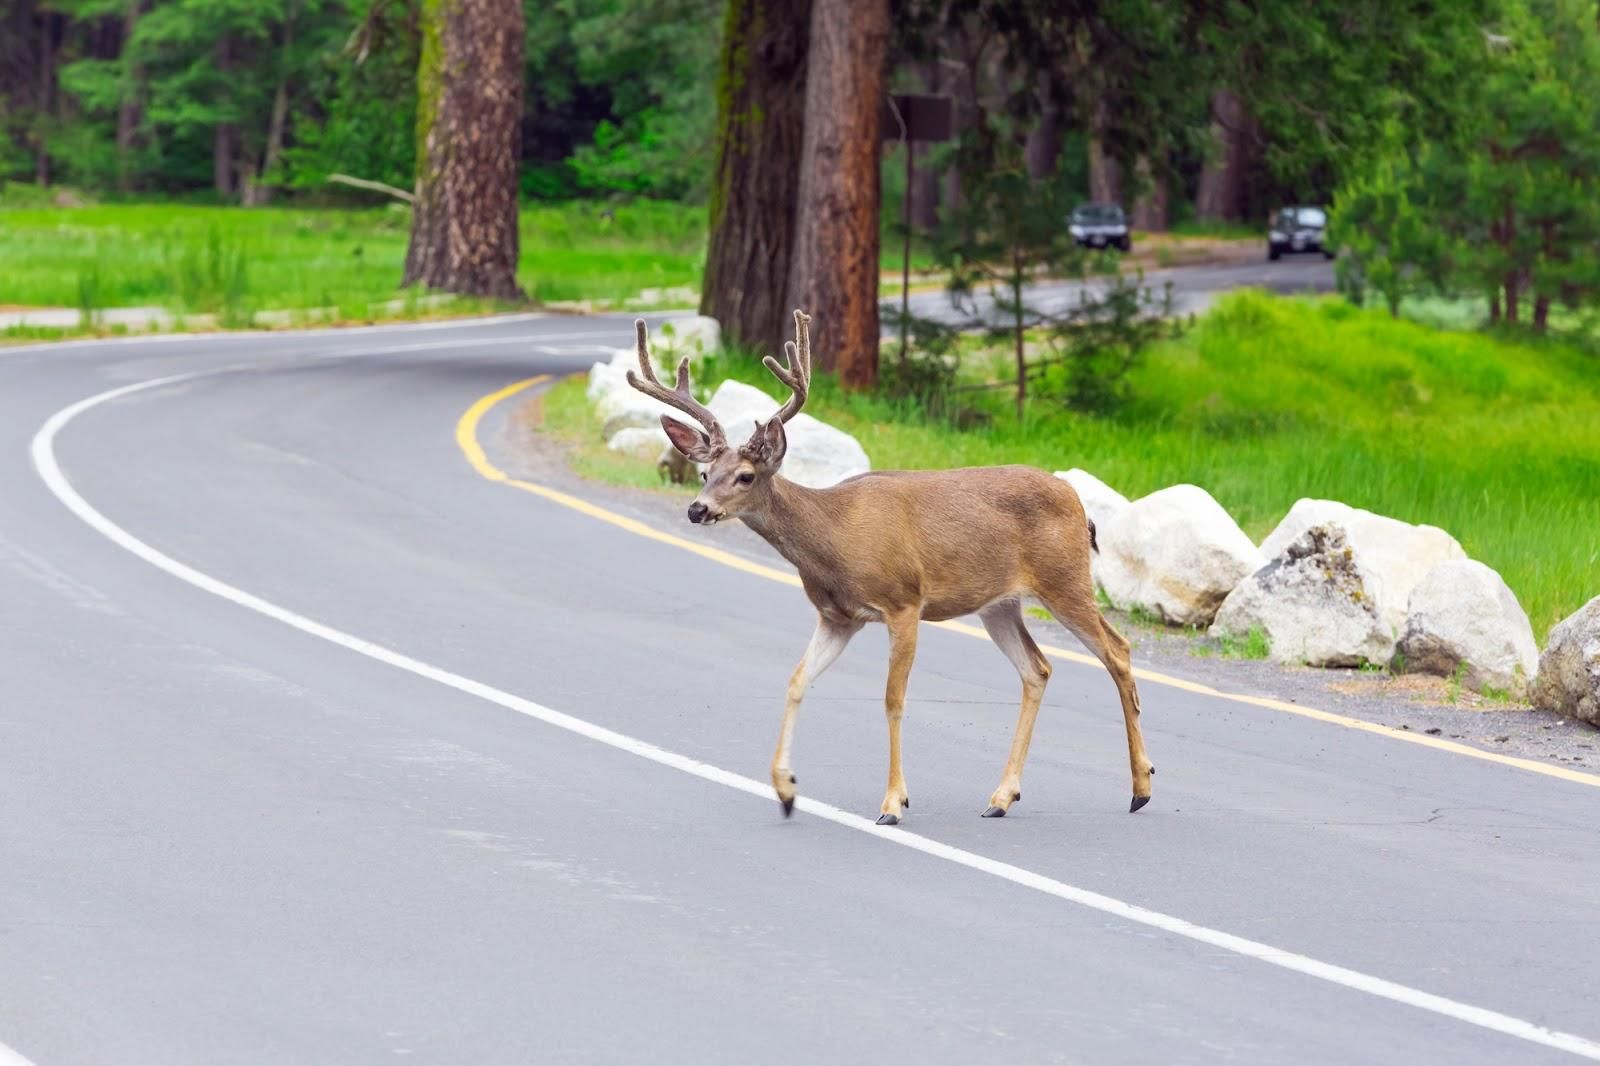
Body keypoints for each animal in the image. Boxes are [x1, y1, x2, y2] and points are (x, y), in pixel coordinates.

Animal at [624, 307, 1152, 819]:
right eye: (704, 472)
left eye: (746, 476)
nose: (697, 509)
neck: (834, 539)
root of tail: (1079, 505)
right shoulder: (838, 617)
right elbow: (796, 680)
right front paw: (786, 790)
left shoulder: (904, 603)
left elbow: (893, 699)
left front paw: (894, 803)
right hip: (999, 603)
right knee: (1037, 668)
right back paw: (1002, 797)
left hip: (1064, 577)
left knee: (1118, 651)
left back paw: (1140, 788)